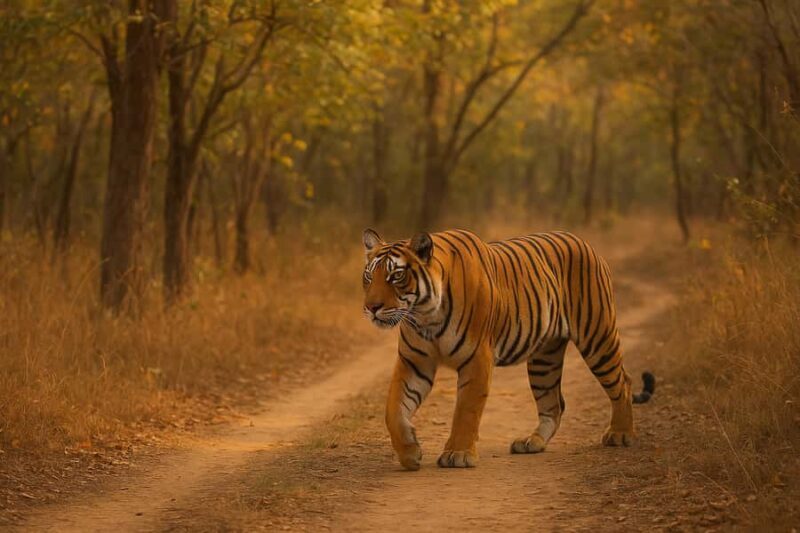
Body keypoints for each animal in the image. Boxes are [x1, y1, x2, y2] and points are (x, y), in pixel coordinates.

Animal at [361, 228, 655, 470]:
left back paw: (621, 434)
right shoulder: (414, 361)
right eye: (368, 277)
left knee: (623, 382)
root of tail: (584, 242)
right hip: (544, 360)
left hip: (597, 337)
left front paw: (458, 454)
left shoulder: (477, 358)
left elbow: (466, 409)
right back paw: (532, 442)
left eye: (396, 276)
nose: (371, 307)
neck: (424, 314)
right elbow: (393, 408)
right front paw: (410, 452)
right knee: (553, 404)